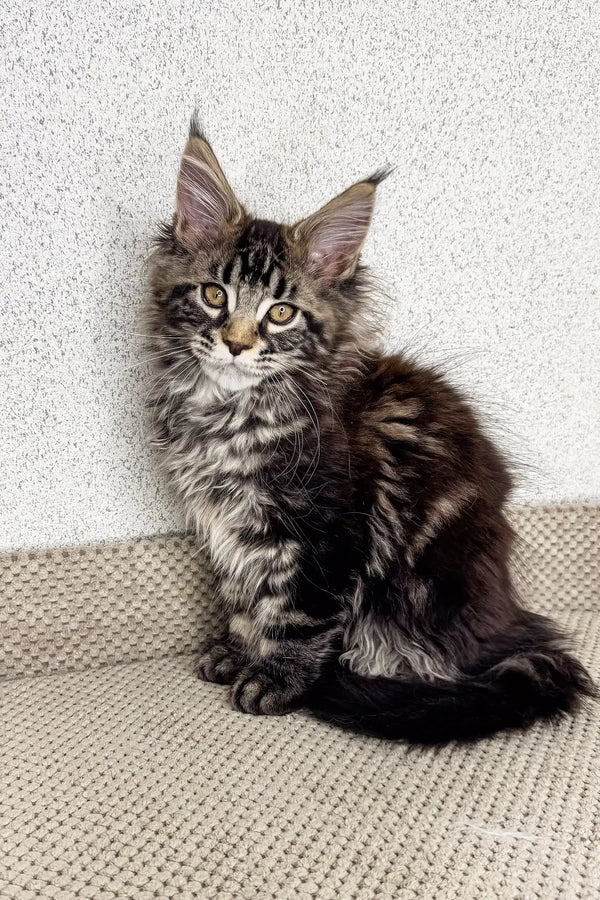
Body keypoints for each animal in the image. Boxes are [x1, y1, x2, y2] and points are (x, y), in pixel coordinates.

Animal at [146, 116, 596, 740]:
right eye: (215, 295)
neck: (232, 411)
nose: (236, 344)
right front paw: (240, 651)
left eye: (280, 312)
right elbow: (245, 595)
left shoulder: (326, 527)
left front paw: (277, 678)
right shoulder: (234, 527)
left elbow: (298, 610)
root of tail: (513, 628)